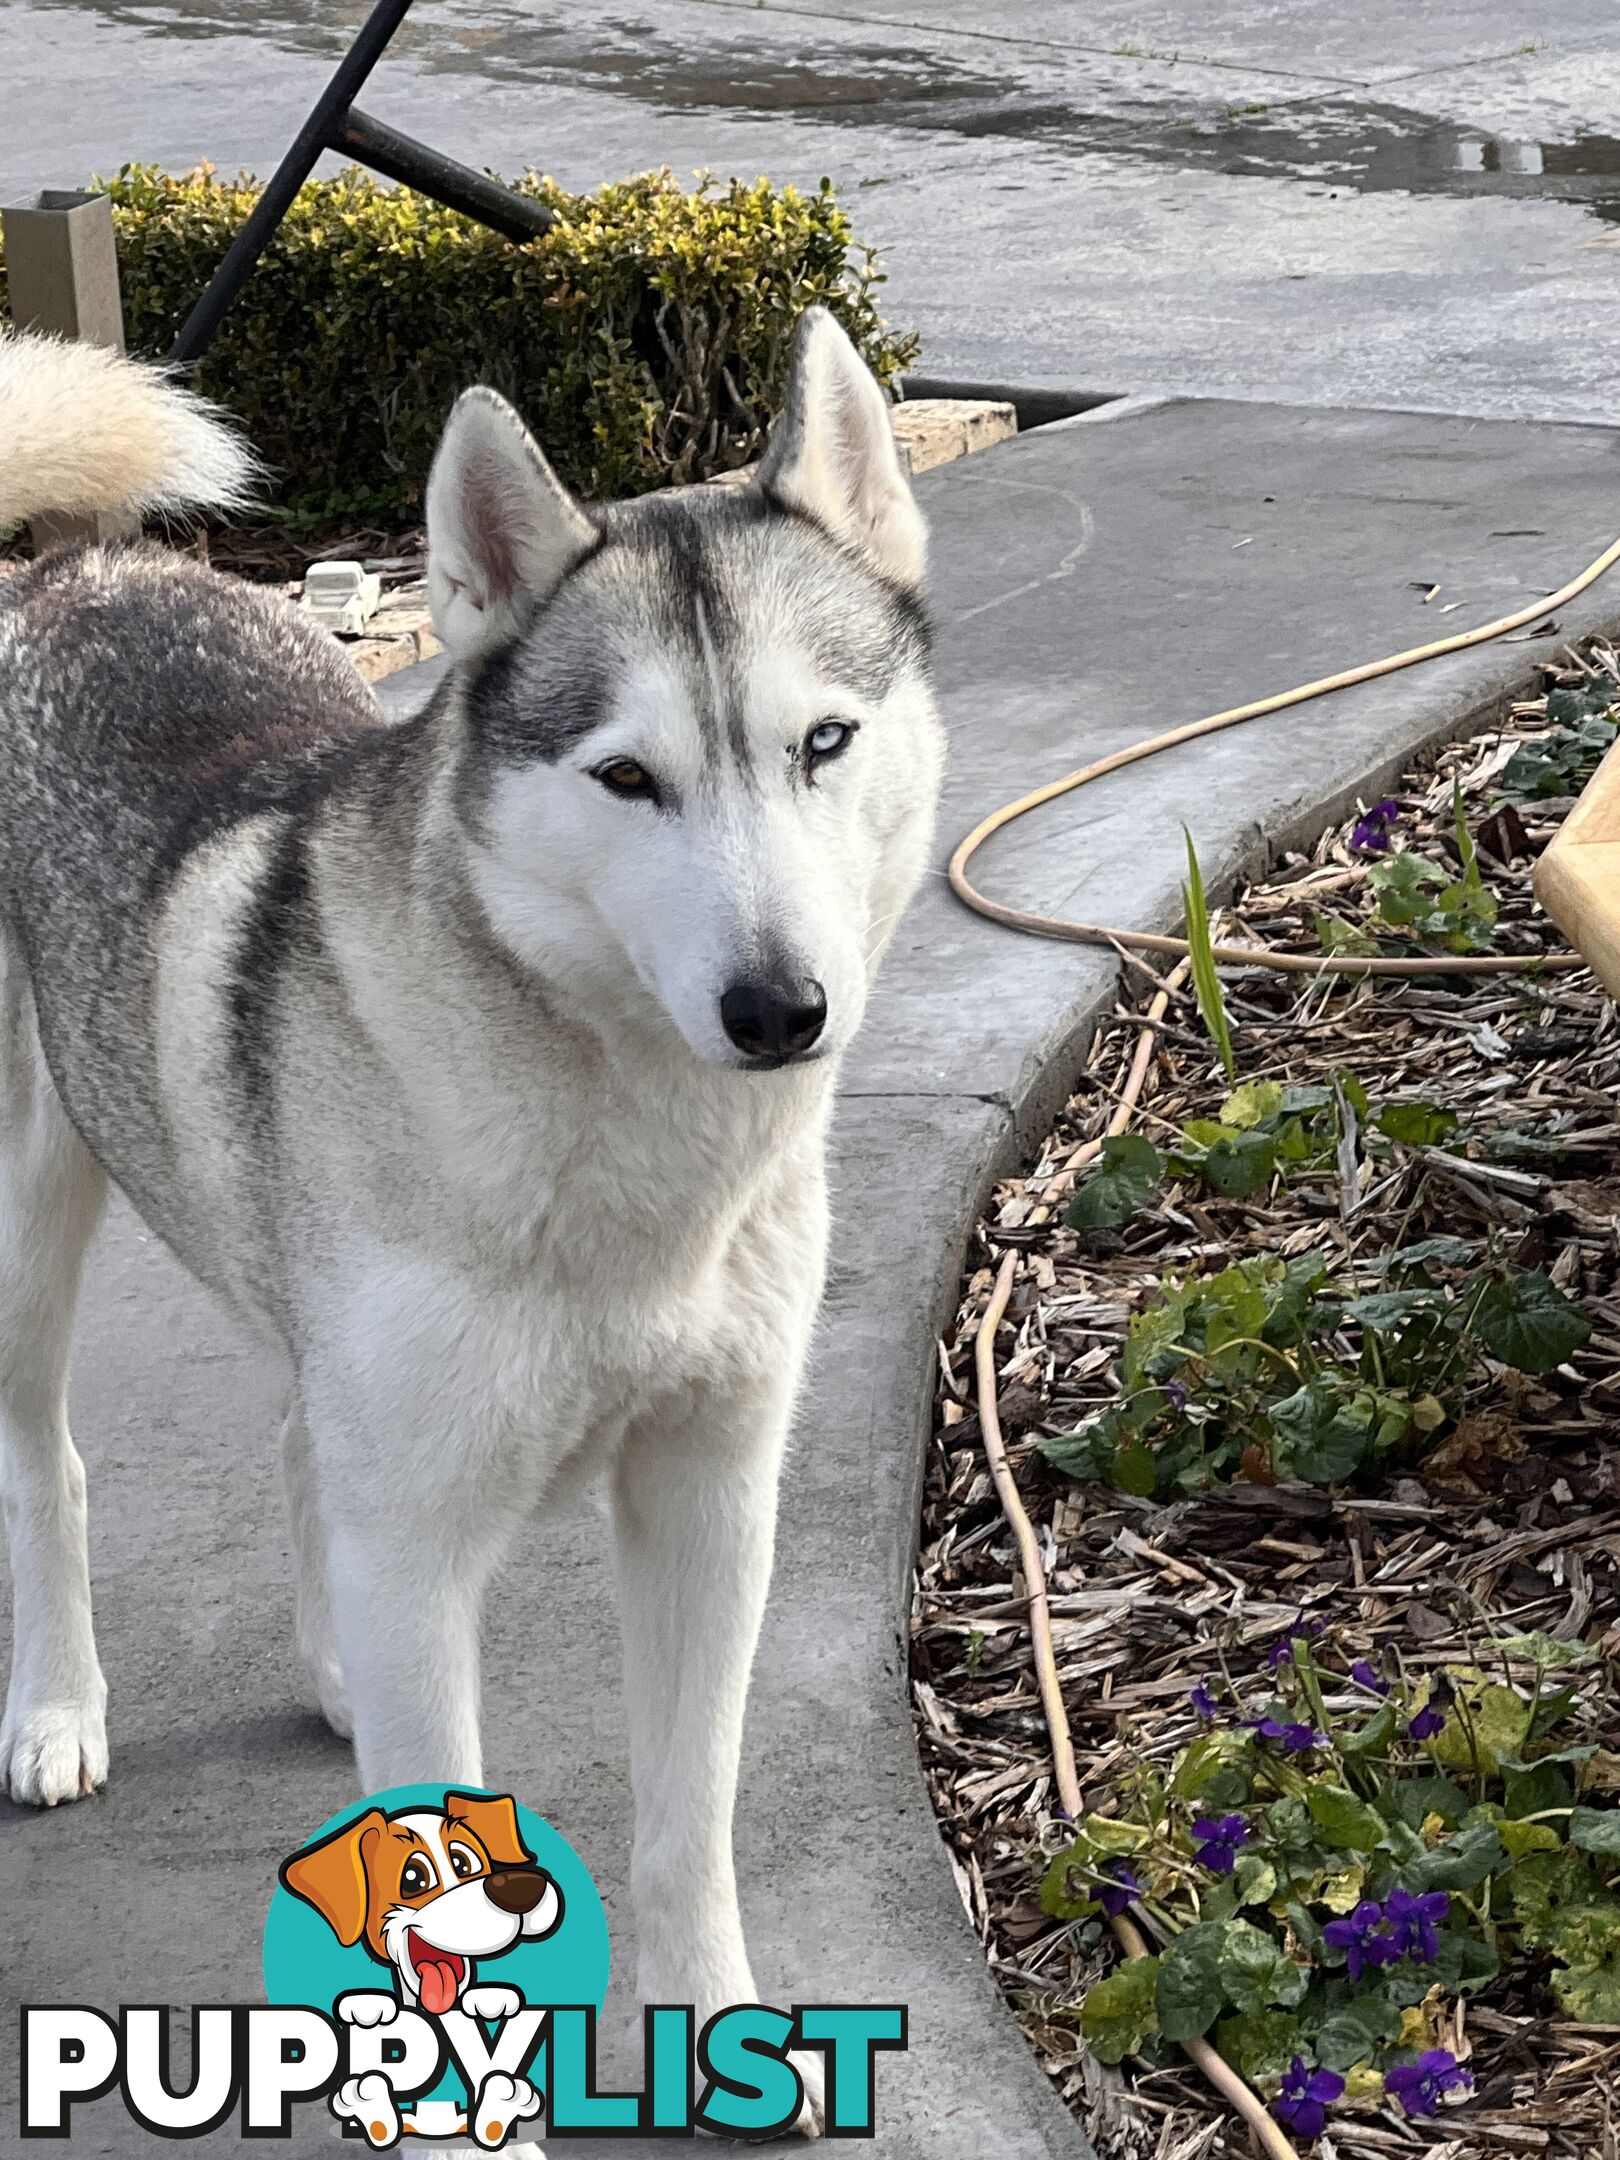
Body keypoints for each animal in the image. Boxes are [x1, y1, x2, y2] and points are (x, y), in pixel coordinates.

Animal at [0, 313, 946, 2134]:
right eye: (626, 777)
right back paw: (59, 1708)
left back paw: (333, 1673)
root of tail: (73, 571)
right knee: (48, 1462)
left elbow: (685, 1828)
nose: (779, 1009)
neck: (618, 1145)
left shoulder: (709, 1502)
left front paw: (720, 2040)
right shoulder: (430, 1539)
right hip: (22, 1228)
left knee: (302, 1441)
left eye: (825, 741)